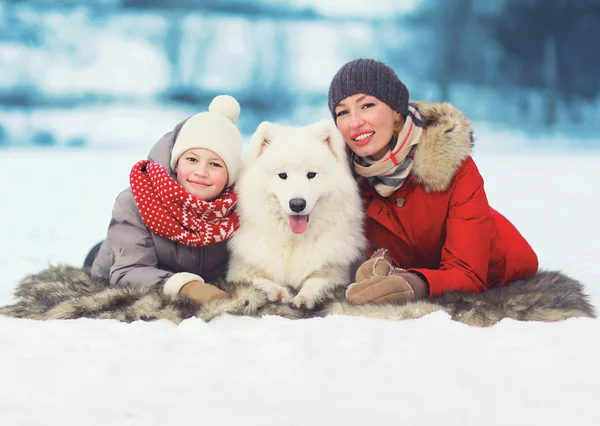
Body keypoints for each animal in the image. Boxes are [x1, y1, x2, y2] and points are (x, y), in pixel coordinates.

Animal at [225, 118, 366, 308]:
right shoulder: (238, 272)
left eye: (311, 174)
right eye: (282, 175)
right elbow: (257, 280)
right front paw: (279, 292)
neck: (294, 240)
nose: (297, 204)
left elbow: (316, 282)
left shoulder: (335, 273)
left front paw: (303, 298)